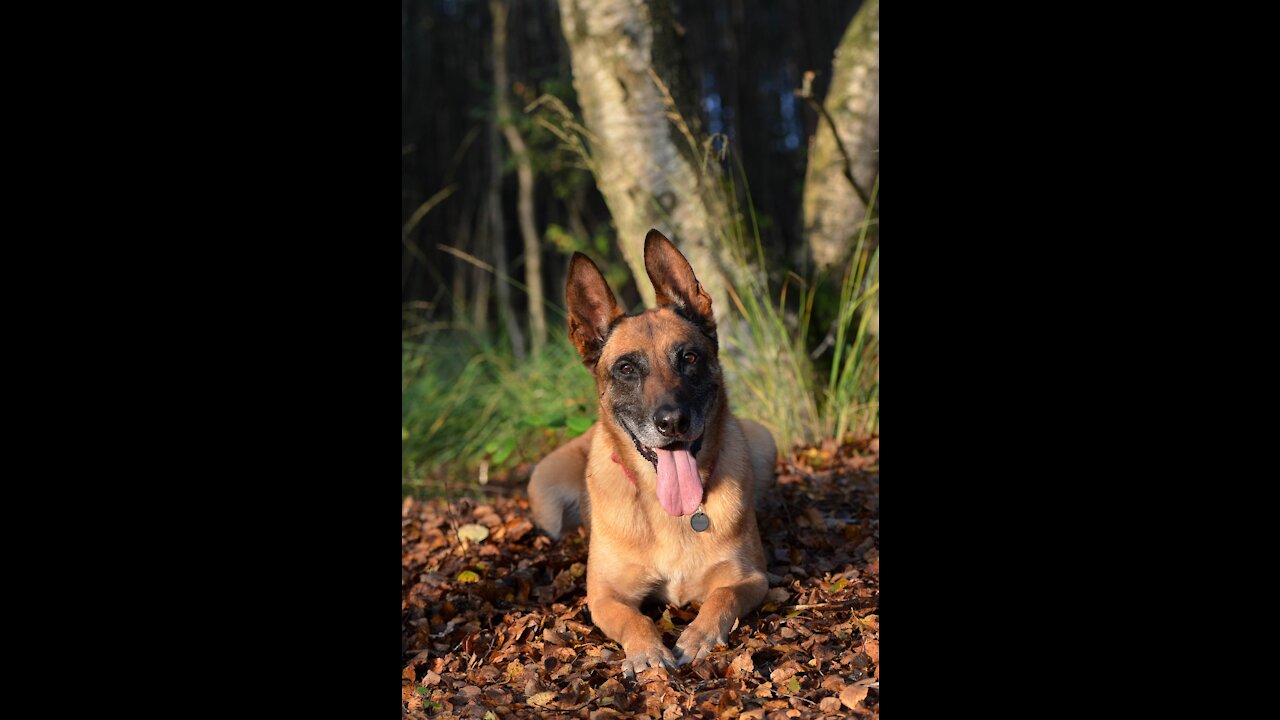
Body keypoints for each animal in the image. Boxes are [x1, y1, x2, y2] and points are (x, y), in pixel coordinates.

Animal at [527, 228, 773, 671]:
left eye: (689, 357)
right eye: (626, 368)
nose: (672, 423)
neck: (669, 513)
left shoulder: (751, 578)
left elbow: (721, 597)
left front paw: (698, 636)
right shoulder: (606, 596)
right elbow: (634, 619)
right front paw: (648, 650)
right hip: (545, 492)